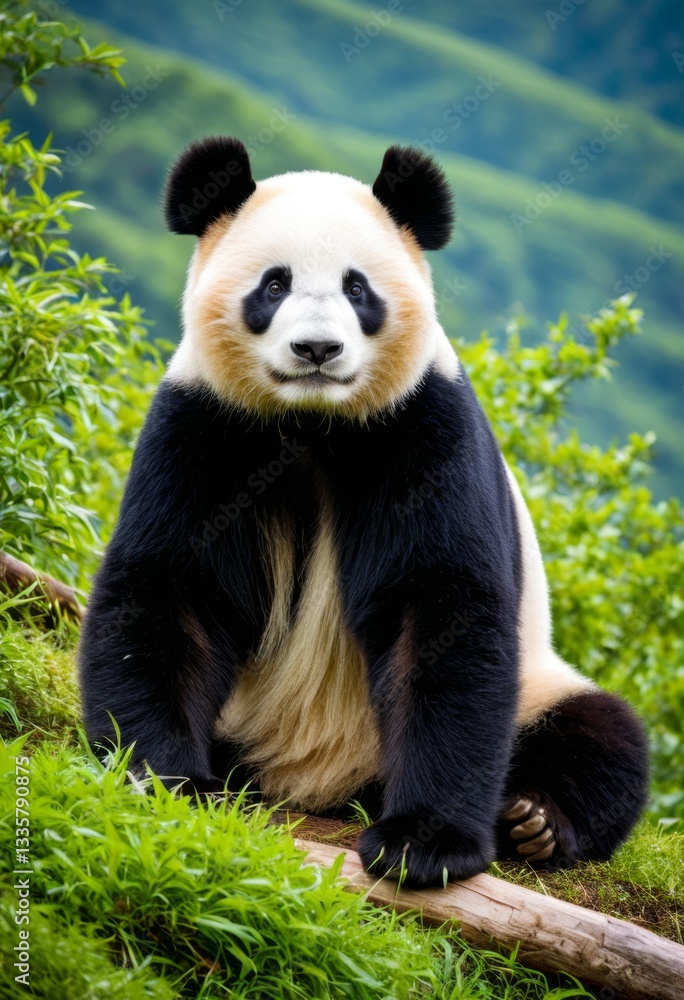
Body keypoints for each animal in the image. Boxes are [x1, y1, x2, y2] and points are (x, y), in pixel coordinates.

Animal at [78, 136, 649, 888]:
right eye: (274, 286)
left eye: (358, 289)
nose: (317, 349)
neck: (313, 423)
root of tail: (317, 782)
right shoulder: (203, 424)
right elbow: (173, 591)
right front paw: (172, 782)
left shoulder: (424, 422)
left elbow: (439, 610)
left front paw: (424, 843)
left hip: (538, 682)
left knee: (603, 733)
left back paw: (534, 821)